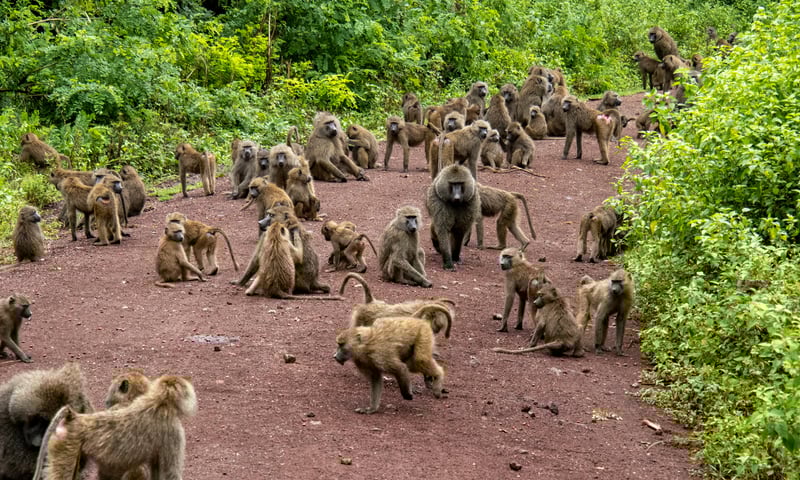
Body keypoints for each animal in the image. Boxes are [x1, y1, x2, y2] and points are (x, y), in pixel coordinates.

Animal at [38, 375, 196, 480]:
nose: (106, 401)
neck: (159, 402)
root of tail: (74, 417)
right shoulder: (174, 432)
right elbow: (171, 474)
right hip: (67, 445)